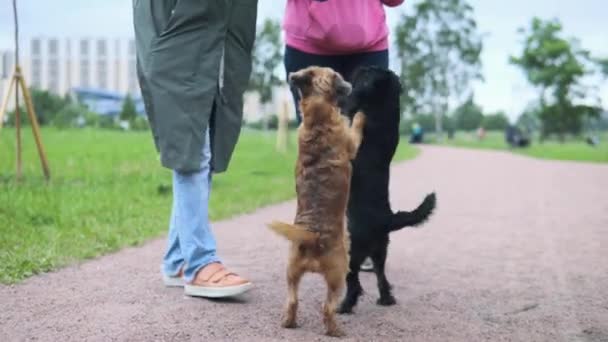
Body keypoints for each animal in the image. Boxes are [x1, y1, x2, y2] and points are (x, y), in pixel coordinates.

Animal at [268, 66, 364, 336]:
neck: (316, 116)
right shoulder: (351, 143)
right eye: (339, 76)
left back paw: (288, 322)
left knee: (292, 301)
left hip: (291, 272)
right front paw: (360, 115)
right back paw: (336, 330)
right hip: (338, 274)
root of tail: (311, 236)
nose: (351, 84)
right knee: (327, 308)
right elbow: (356, 128)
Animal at [338, 66, 436, 316]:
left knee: (354, 282)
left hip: (355, 251)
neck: (384, 110)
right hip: (380, 251)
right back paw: (385, 300)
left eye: (364, 76)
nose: (356, 70)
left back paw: (345, 306)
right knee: (382, 277)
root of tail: (387, 219)